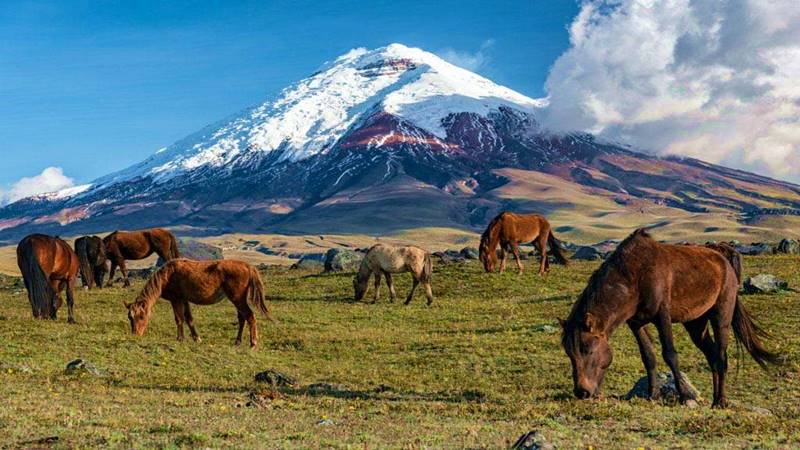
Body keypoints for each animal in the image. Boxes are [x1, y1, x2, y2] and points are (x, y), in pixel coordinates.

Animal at [123, 256, 276, 348]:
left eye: (141, 316)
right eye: (130, 317)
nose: (135, 334)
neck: (167, 276)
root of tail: (249, 267)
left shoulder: (176, 299)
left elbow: (179, 319)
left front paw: (180, 339)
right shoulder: (184, 300)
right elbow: (189, 319)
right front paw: (196, 338)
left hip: (237, 298)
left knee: (250, 316)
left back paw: (253, 343)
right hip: (238, 299)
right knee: (242, 318)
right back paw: (237, 342)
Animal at [560, 230, 780, 410]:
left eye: (588, 350)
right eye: (570, 353)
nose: (582, 392)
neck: (635, 277)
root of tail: (722, 256)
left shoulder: (662, 317)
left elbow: (670, 355)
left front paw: (684, 396)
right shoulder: (636, 323)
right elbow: (648, 356)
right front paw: (652, 395)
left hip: (721, 317)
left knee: (721, 356)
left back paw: (721, 401)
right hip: (696, 324)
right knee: (712, 356)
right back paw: (714, 400)